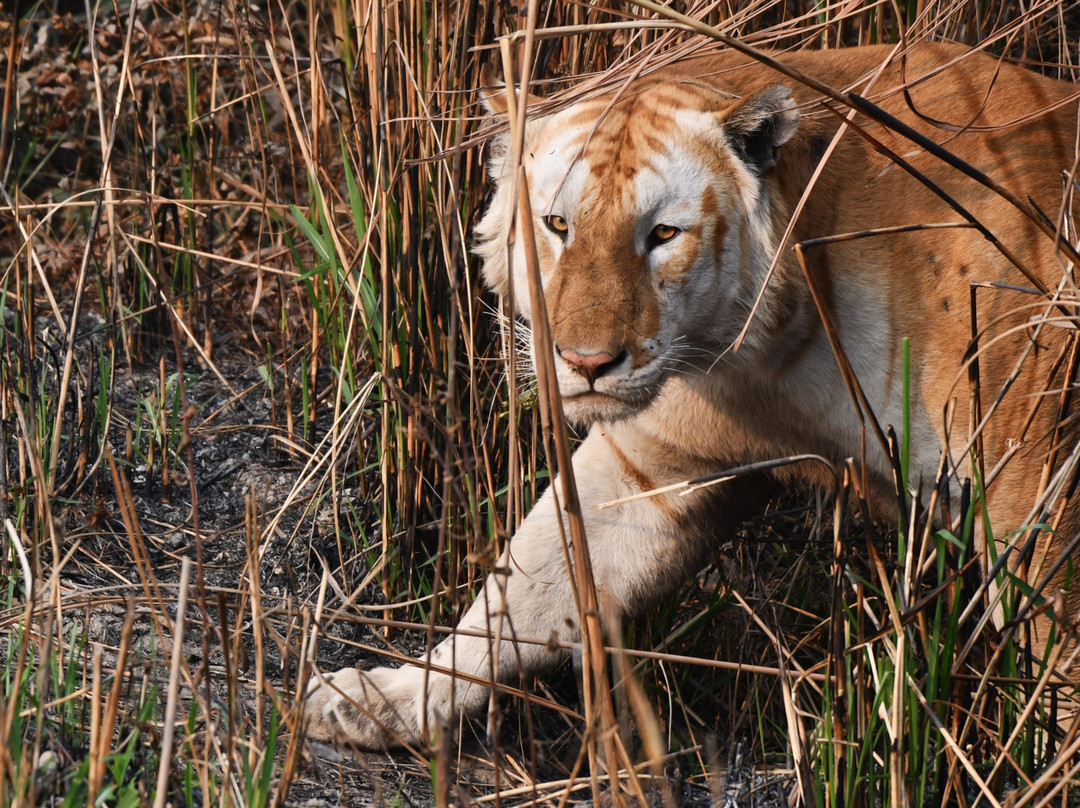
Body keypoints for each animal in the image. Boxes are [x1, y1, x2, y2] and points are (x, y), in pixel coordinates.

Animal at [303, 42, 1080, 749]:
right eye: (558, 226)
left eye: (662, 235)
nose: (584, 361)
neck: (768, 354)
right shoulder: (647, 466)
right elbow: (526, 585)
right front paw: (383, 698)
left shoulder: (1034, 492)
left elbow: (1059, 651)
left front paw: (1048, 760)